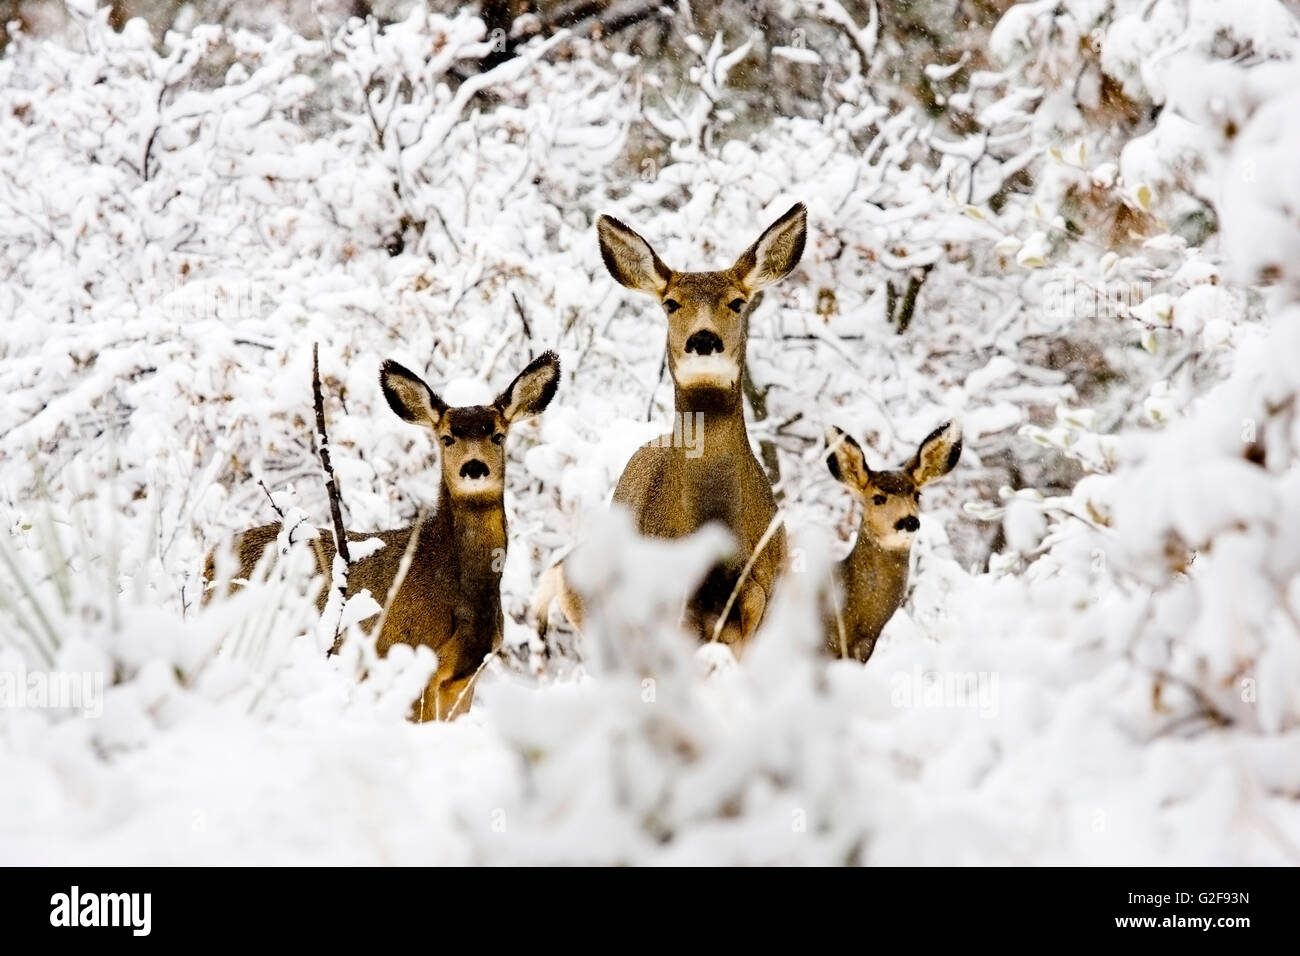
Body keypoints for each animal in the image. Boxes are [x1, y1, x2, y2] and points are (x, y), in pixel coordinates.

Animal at [207, 351, 561, 720]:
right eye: (447, 437)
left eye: (498, 435)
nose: (474, 467)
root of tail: (209, 559)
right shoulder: (411, 655)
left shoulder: (466, 678)